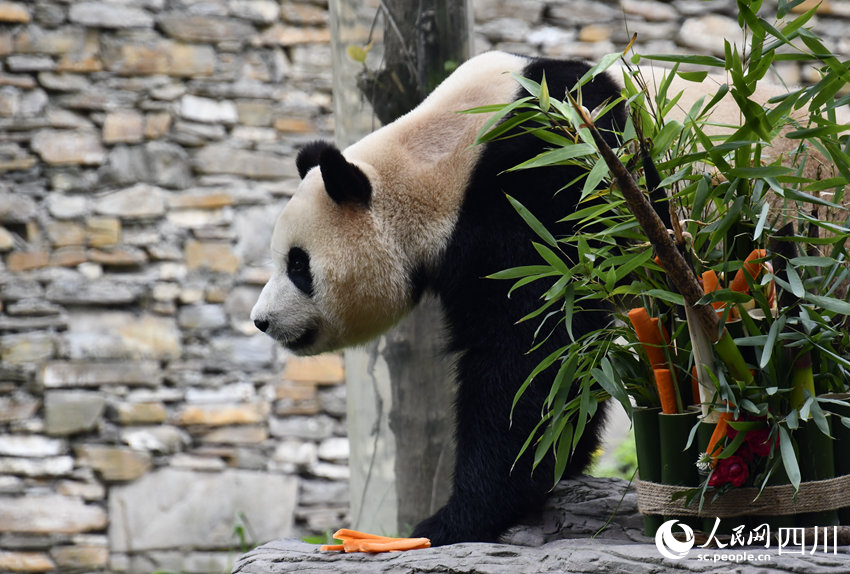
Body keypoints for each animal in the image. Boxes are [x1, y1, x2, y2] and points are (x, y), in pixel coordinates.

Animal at [247, 50, 808, 548]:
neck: (440, 157)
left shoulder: (551, 180)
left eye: (298, 265)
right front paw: (563, 466)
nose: (261, 321)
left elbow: (530, 355)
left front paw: (456, 518)